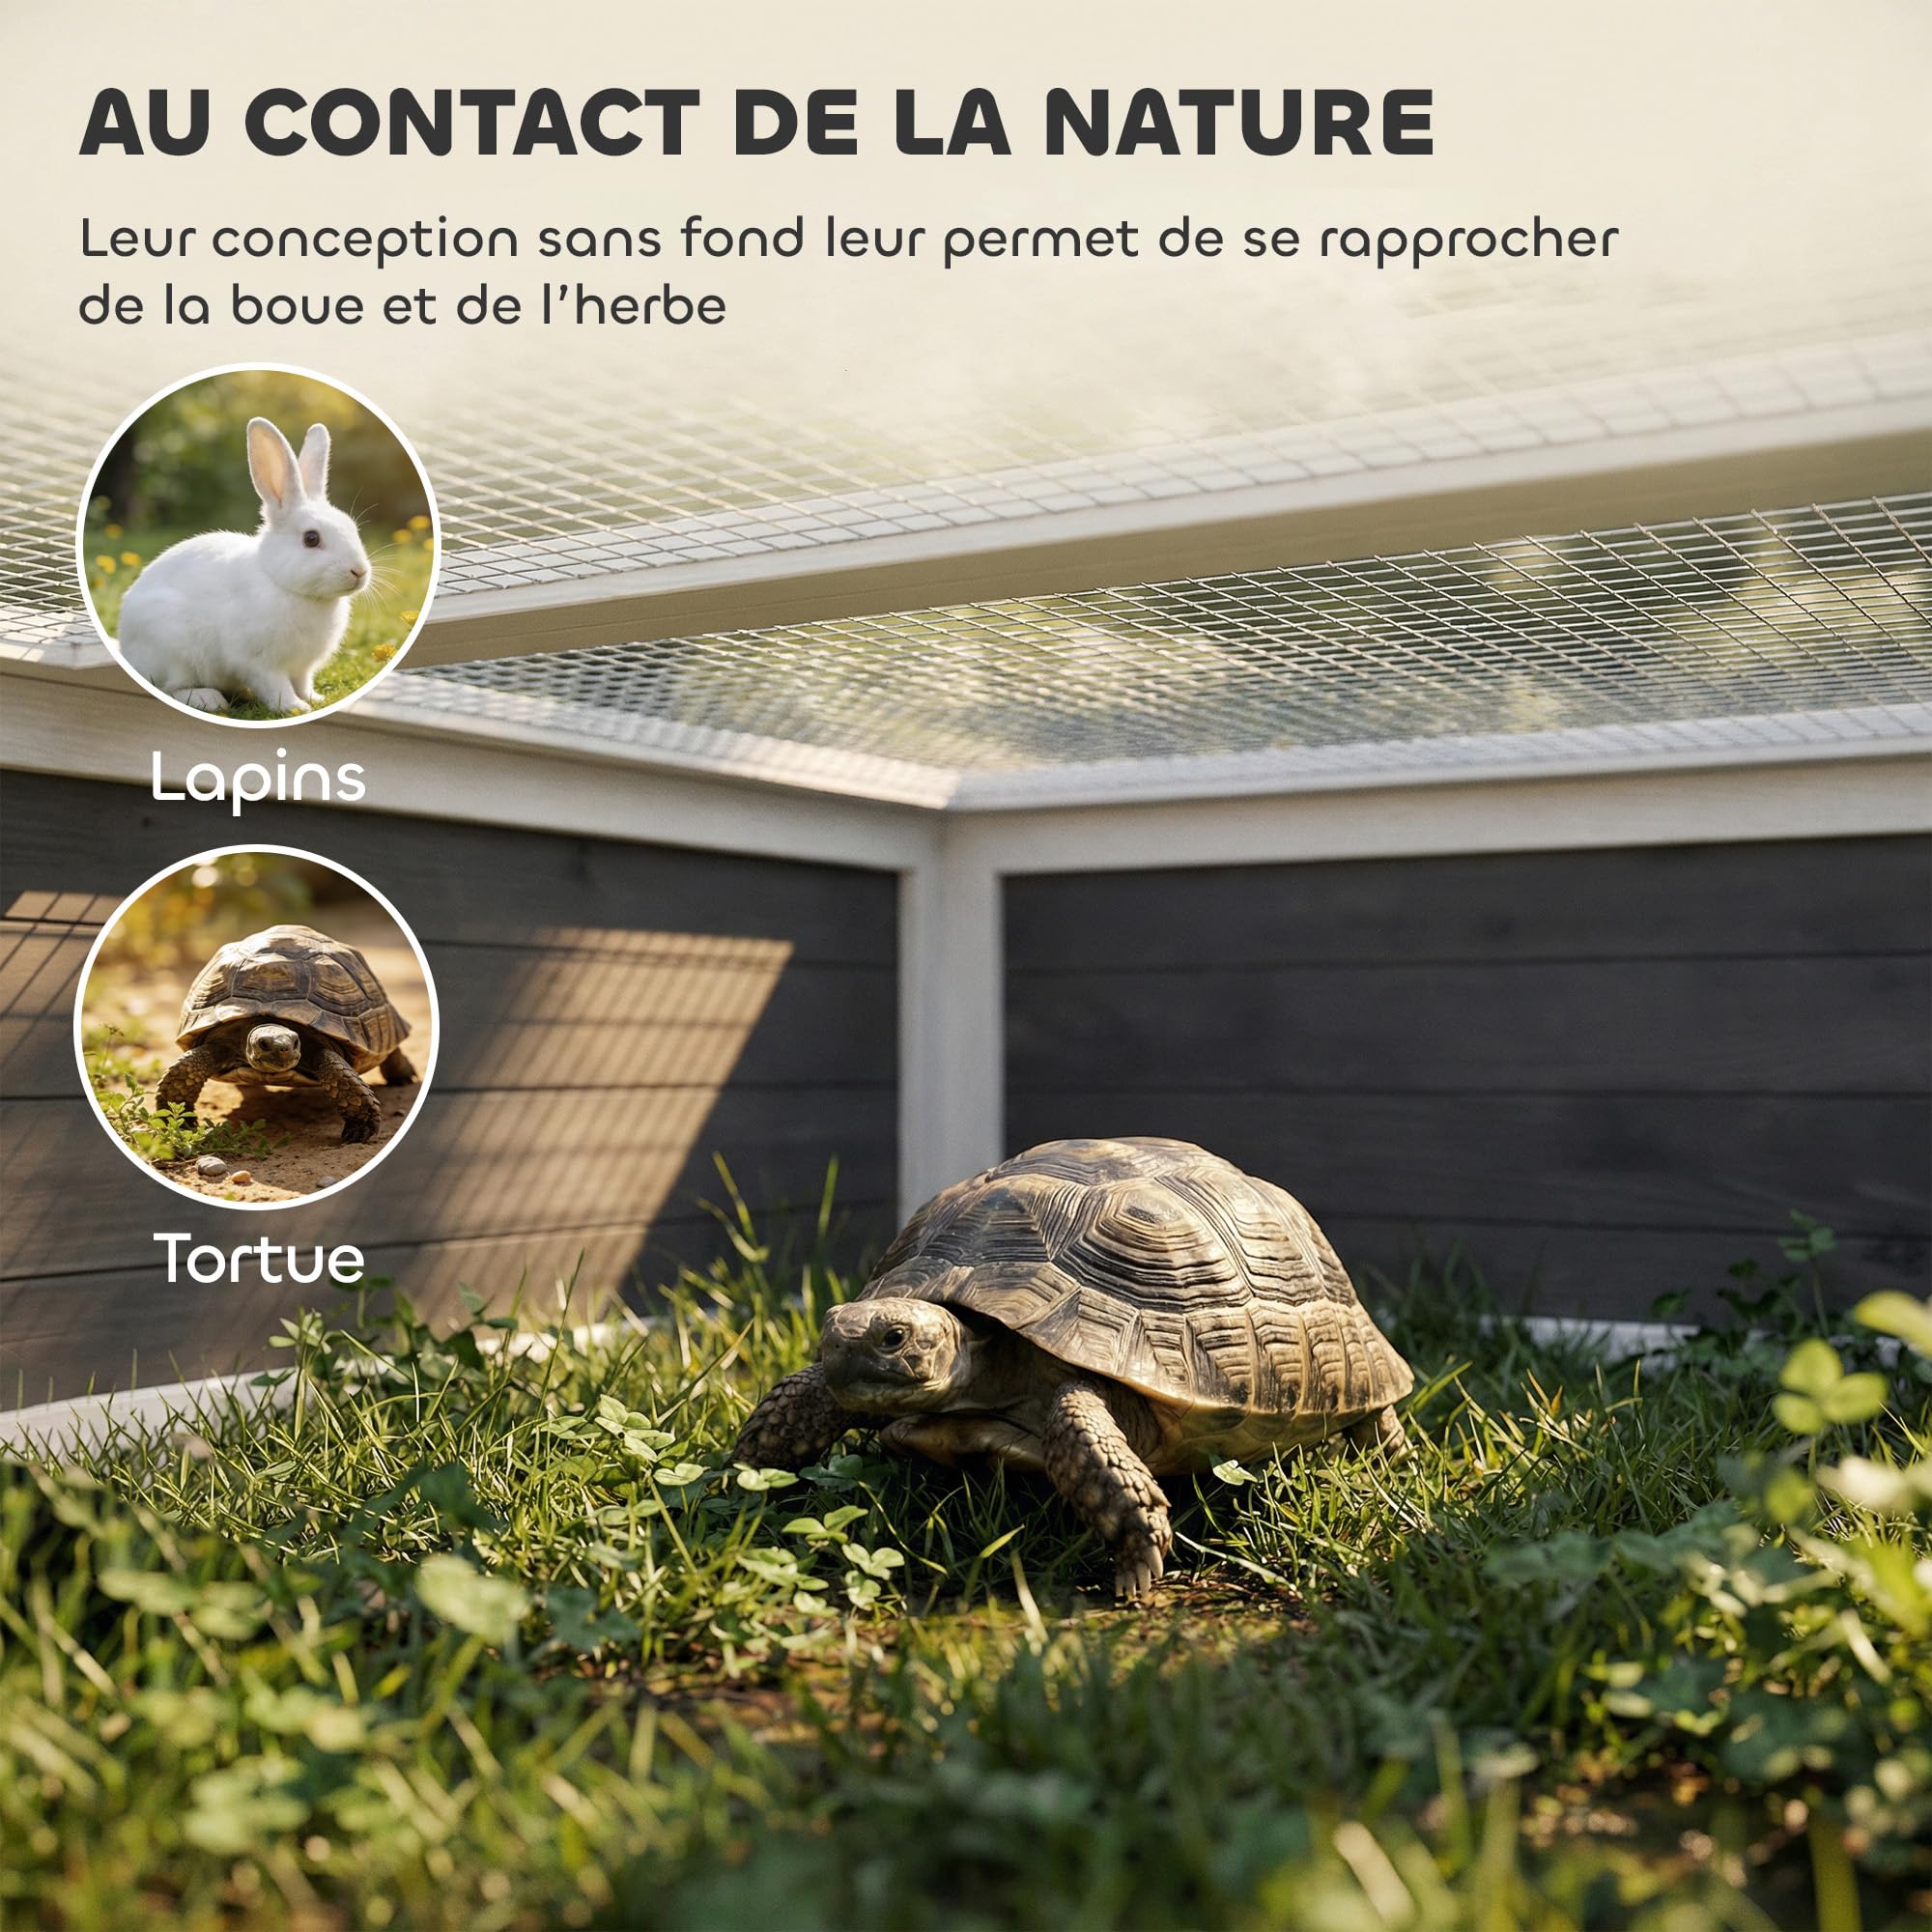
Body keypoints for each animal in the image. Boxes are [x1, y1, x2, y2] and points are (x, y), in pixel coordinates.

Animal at [113, 417, 372, 717]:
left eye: (352, 528)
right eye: (311, 538)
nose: (359, 572)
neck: (283, 584)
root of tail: (126, 648)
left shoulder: (302, 668)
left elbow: (303, 682)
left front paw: (315, 699)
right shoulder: (258, 661)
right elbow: (276, 686)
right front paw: (295, 708)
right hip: (173, 651)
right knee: (170, 688)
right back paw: (209, 699)